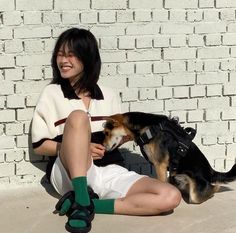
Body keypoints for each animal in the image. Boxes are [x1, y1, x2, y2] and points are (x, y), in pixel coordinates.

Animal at [102, 111, 236, 204]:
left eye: (107, 133)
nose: (103, 146)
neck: (146, 128)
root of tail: (211, 171)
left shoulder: (160, 164)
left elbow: (162, 183)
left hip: (195, 194)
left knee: (213, 188)